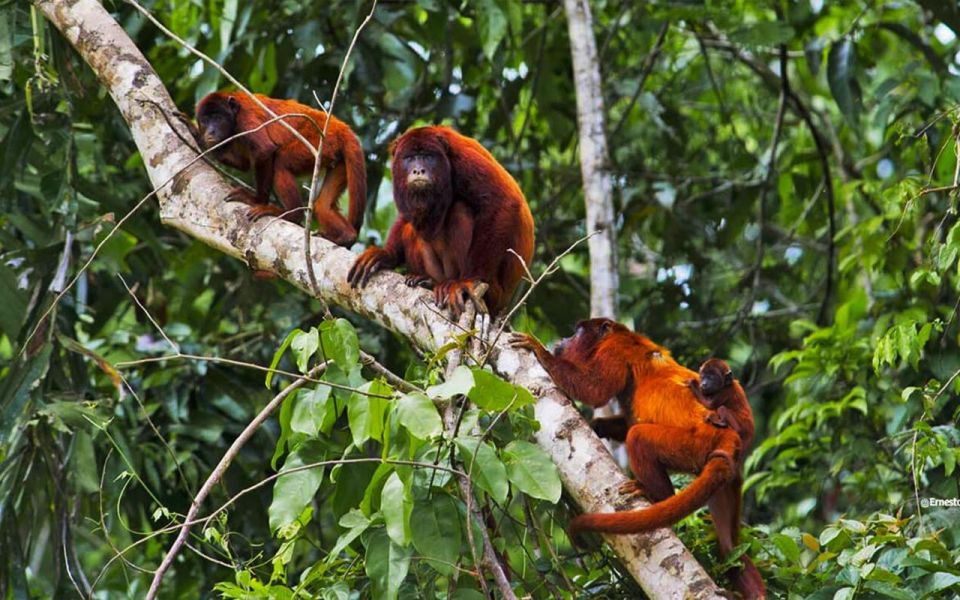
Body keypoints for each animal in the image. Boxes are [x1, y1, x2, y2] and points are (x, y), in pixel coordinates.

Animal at [193, 92, 366, 246]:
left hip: (320, 142)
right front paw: (197, 135)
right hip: (336, 156)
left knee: (281, 162)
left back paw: (292, 215)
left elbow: (265, 150)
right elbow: (244, 163)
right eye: (205, 120)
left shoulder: (245, 118)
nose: (210, 131)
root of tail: (340, 126)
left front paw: (257, 200)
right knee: (322, 206)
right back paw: (347, 237)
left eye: (218, 118)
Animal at [348, 126, 536, 318]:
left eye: (427, 156)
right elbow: (406, 217)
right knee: (411, 227)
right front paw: (386, 254)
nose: (418, 171)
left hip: (494, 293)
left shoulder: (462, 160)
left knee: (459, 209)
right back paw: (426, 280)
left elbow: (502, 202)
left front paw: (468, 281)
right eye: (410, 158)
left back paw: (453, 282)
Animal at [510, 322, 764, 600]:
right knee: (730, 548)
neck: (616, 334)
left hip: (694, 444)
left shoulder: (614, 350)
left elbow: (596, 391)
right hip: (727, 476)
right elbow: (627, 418)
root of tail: (727, 435)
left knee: (638, 437)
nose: (564, 339)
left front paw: (539, 350)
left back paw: (656, 493)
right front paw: (596, 426)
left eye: (577, 332)